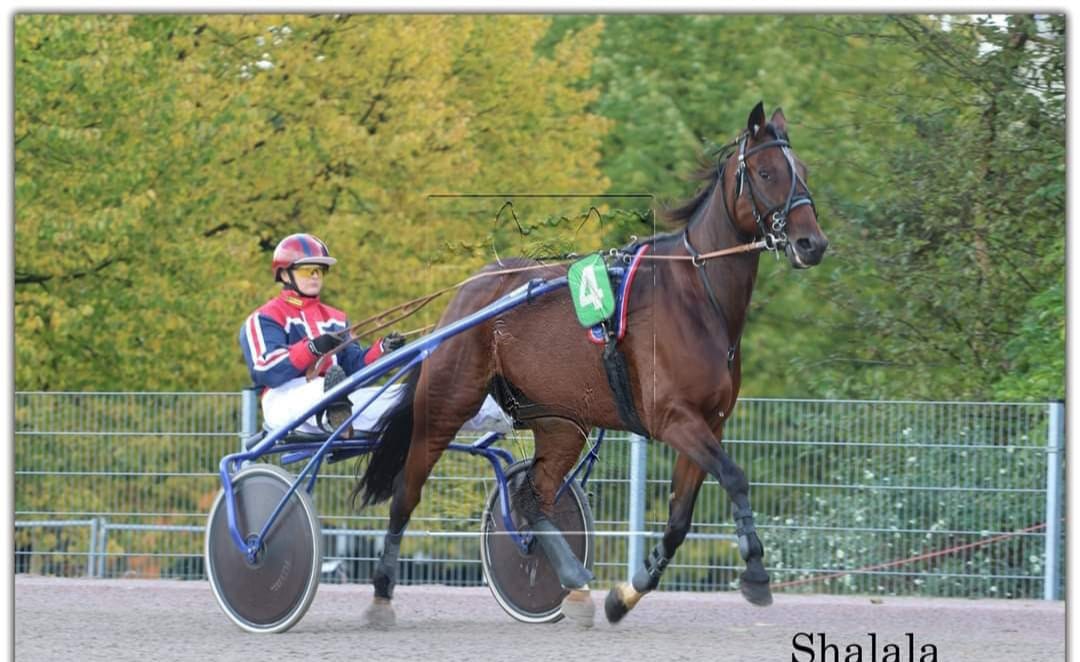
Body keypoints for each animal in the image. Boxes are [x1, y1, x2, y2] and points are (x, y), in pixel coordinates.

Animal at [351, 101, 828, 626]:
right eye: (766, 172)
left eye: (804, 171)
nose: (812, 243)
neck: (696, 299)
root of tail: (464, 295)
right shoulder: (673, 419)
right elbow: (735, 478)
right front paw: (757, 573)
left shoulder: (710, 423)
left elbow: (679, 520)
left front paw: (625, 595)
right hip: (447, 403)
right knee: (406, 492)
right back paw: (381, 593)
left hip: (560, 422)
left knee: (532, 497)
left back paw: (573, 582)